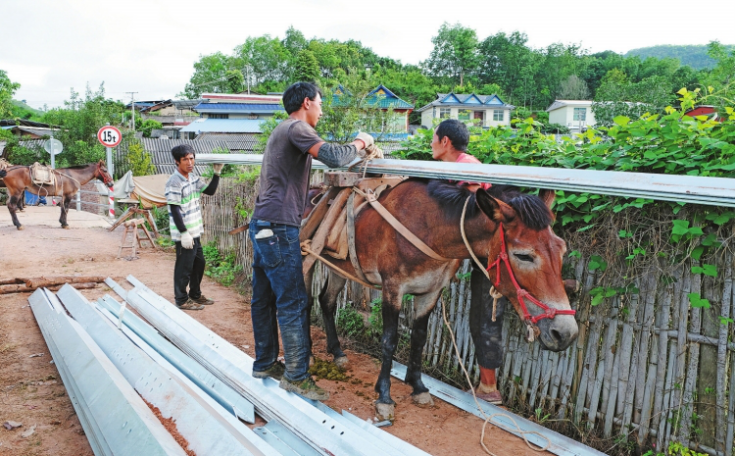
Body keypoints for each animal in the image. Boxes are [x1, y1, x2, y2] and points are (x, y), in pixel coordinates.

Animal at [306, 180, 580, 422]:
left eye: (562, 249)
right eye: (523, 255)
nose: (565, 333)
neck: (429, 229)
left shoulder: (431, 292)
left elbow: (419, 338)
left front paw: (418, 387)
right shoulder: (392, 289)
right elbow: (389, 341)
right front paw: (384, 396)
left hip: (340, 268)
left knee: (326, 301)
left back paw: (337, 352)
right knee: (305, 302)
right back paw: (307, 355)